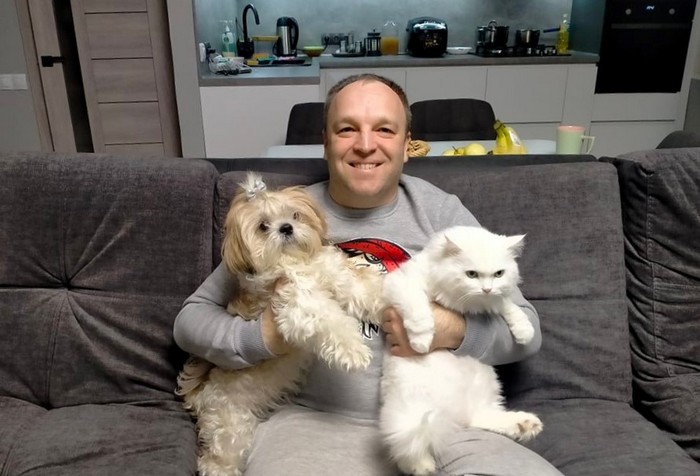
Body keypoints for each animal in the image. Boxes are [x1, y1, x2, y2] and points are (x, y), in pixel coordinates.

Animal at [176, 172, 384, 476]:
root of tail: (200, 394)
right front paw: (353, 351)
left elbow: (363, 290)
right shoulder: (299, 306)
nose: (286, 227)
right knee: (214, 460)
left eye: (294, 215)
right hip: (230, 430)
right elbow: (331, 319)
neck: (296, 263)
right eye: (263, 226)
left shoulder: (338, 277)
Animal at [379, 225, 543, 476]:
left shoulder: (494, 300)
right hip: (411, 410)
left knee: (480, 418)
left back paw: (524, 424)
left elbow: (508, 306)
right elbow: (418, 309)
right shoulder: (402, 284)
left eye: (498, 274)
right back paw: (423, 466)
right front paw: (421, 340)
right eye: (471, 274)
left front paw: (524, 331)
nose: (486, 289)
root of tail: (454, 418)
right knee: (407, 444)